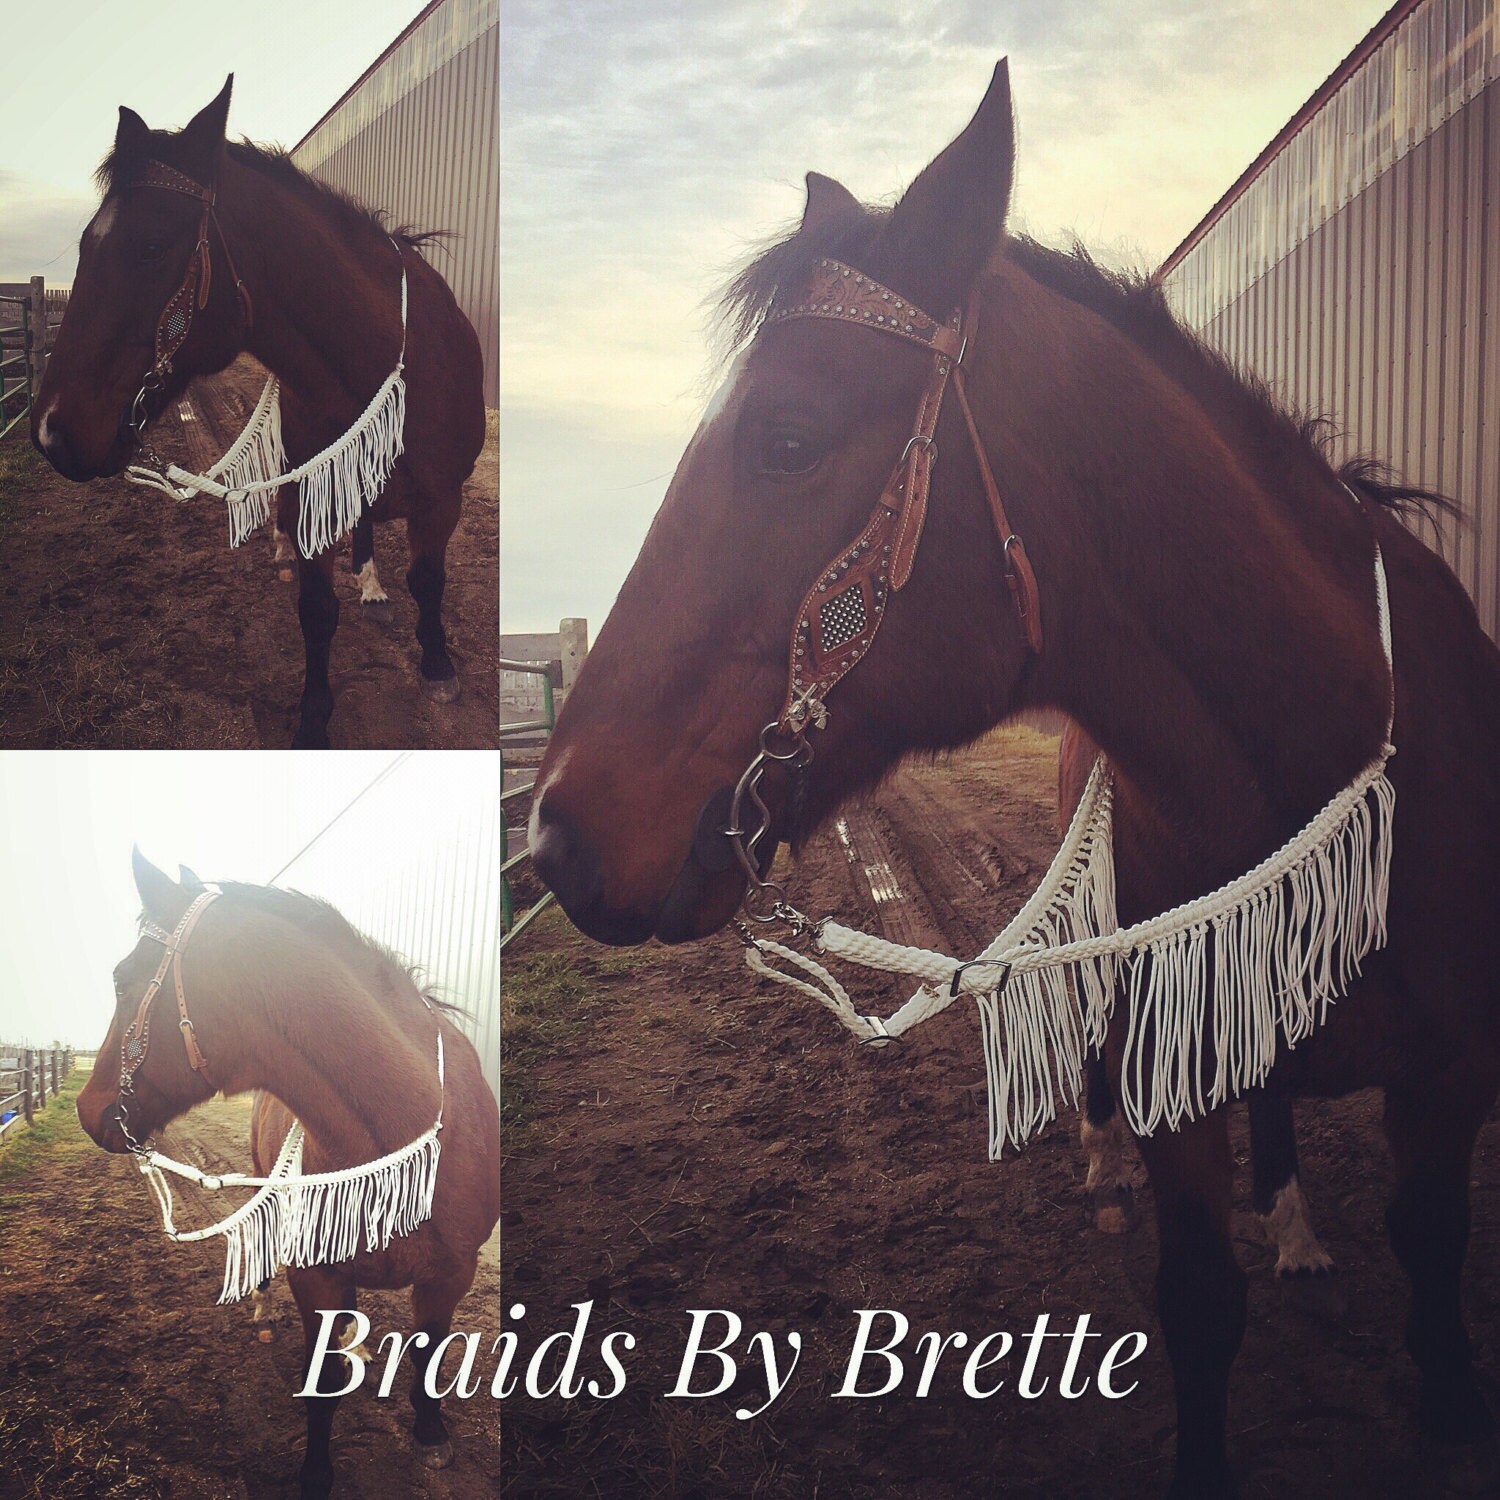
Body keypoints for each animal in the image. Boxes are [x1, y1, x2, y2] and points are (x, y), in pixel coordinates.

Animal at [32, 77, 485, 748]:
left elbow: (428, 582)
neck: (380, 357)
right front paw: (313, 720)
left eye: (151, 247)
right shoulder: (314, 491)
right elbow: (317, 612)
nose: (52, 431)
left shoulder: (442, 500)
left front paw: (436, 666)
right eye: (87, 244)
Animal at [76, 851, 500, 1499]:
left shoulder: (451, 1274)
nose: (86, 1108)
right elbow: (321, 1384)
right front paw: (316, 1473)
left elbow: (428, 1358)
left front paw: (430, 1435)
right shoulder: (315, 1276)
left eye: (124, 980)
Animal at [528, 61, 1500, 1498]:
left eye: (786, 440)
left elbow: (1432, 1282)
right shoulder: (1175, 1070)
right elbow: (1200, 1302)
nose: (558, 836)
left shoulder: (1446, 1087)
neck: (1322, 741)